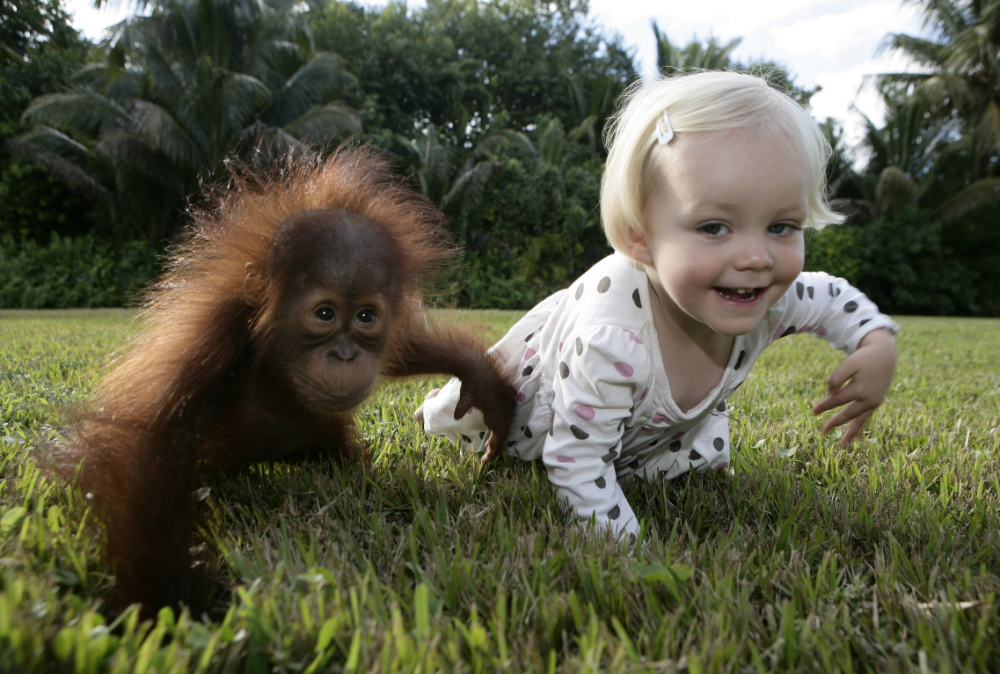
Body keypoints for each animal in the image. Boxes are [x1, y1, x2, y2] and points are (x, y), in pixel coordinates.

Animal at [49, 147, 516, 616]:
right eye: (325, 314)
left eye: (366, 317)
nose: (345, 355)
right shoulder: (217, 334)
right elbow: (158, 442)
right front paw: (175, 607)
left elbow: (401, 349)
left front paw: (484, 384)